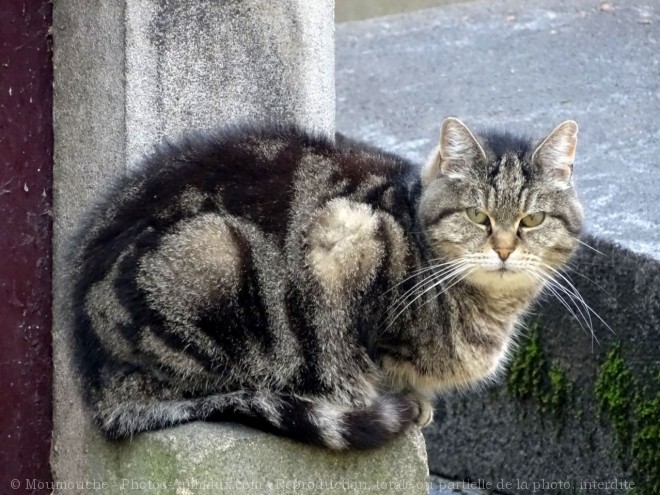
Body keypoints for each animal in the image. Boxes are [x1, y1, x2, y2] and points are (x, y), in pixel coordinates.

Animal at [69, 118, 580, 452]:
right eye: (477, 215)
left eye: (532, 220)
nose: (504, 249)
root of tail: (97, 386)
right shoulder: (345, 236)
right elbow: (366, 357)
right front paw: (404, 401)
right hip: (214, 253)